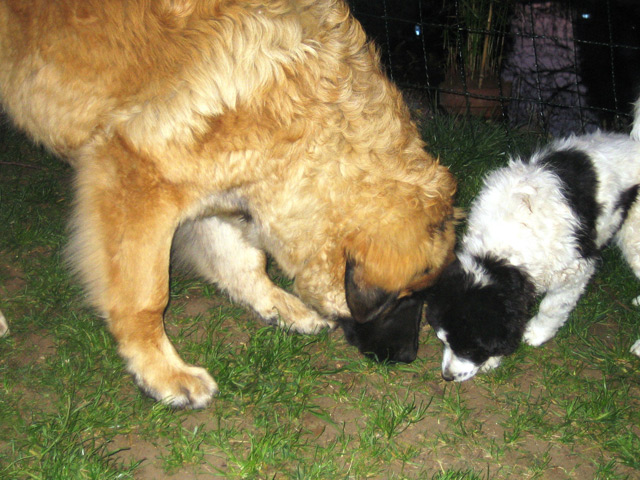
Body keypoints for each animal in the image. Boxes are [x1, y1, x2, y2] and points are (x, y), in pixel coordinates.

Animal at [0, 0, 457, 407]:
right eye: (406, 299)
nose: (408, 358)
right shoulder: (136, 176)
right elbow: (147, 295)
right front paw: (162, 373)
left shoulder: (227, 184)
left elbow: (244, 260)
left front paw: (278, 304)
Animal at [423, 125, 640, 382]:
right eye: (442, 340)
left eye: (469, 349)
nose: (447, 376)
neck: (500, 254)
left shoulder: (576, 271)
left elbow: (552, 307)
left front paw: (536, 333)